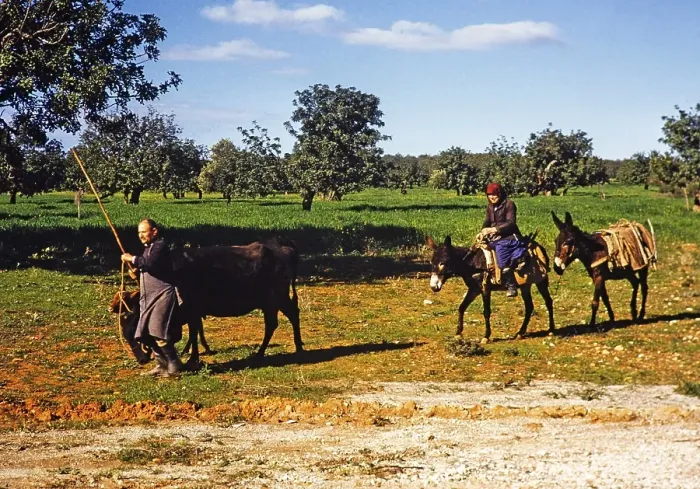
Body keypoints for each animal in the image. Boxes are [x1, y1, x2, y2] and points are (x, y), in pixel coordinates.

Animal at [111, 238, 302, 368]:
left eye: (133, 330)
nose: (141, 360)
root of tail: (282, 246)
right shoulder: (193, 312)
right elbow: (195, 331)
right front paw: (191, 351)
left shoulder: (192, 310)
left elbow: (194, 332)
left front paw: (193, 356)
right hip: (274, 301)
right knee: (286, 318)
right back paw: (296, 347)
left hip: (275, 300)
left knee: (278, 321)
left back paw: (266, 351)